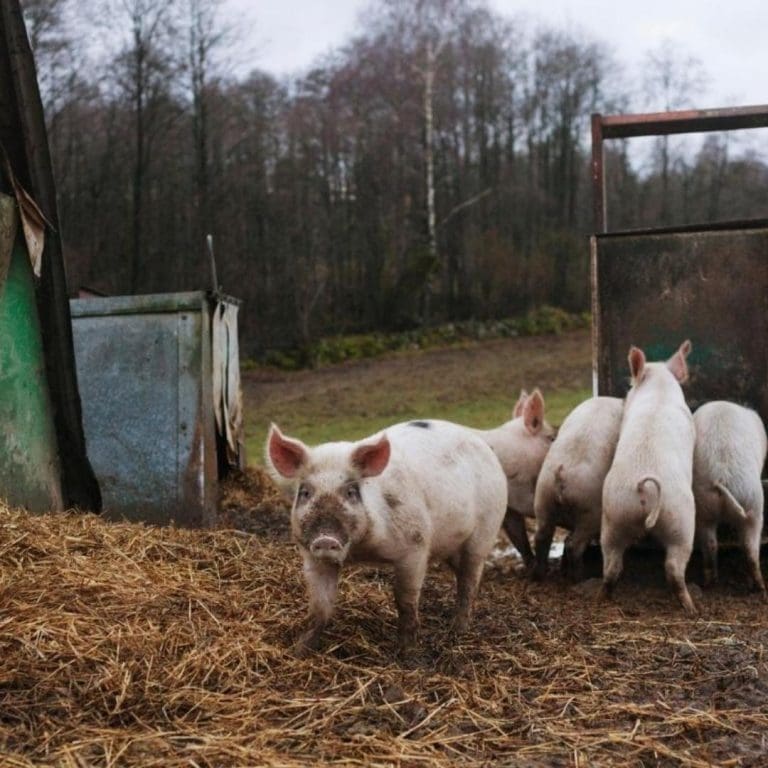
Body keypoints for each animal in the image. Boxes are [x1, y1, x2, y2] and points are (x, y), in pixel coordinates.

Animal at [266, 420, 510, 656]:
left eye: (351, 492)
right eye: (306, 492)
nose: (326, 539)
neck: (362, 550)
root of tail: (483, 445)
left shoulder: (415, 546)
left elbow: (405, 601)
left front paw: (407, 654)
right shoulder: (313, 559)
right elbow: (319, 608)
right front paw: (299, 652)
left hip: (485, 532)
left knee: (470, 582)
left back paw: (457, 631)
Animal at [532, 396, 628, 584]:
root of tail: (561, 476)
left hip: (542, 500)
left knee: (541, 538)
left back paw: (539, 576)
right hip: (589, 512)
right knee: (573, 545)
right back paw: (579, 578)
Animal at [596, 340, 700, 612]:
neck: (659, 391)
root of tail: (647, 489)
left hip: (613, 516)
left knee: (611, 566)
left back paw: (601, 599)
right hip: (682, 521)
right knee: (674, 567)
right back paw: (691, 608)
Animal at [692, 400, 764, 596]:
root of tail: (721, 477)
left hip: (705, 504)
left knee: (711, 544)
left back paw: (709, 583)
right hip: (754, 503)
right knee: (750, 546)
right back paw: (759, 587)